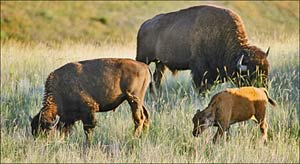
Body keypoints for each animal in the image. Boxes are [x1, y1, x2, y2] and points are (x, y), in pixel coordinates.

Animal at [137, 4, 270, 93]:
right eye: (251, 74)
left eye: (266, 71)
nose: (263, 89)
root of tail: (144, 25)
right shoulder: (199, 71)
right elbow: (201, 88)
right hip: (143, 59)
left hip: (160, 63)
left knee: (156, 80)